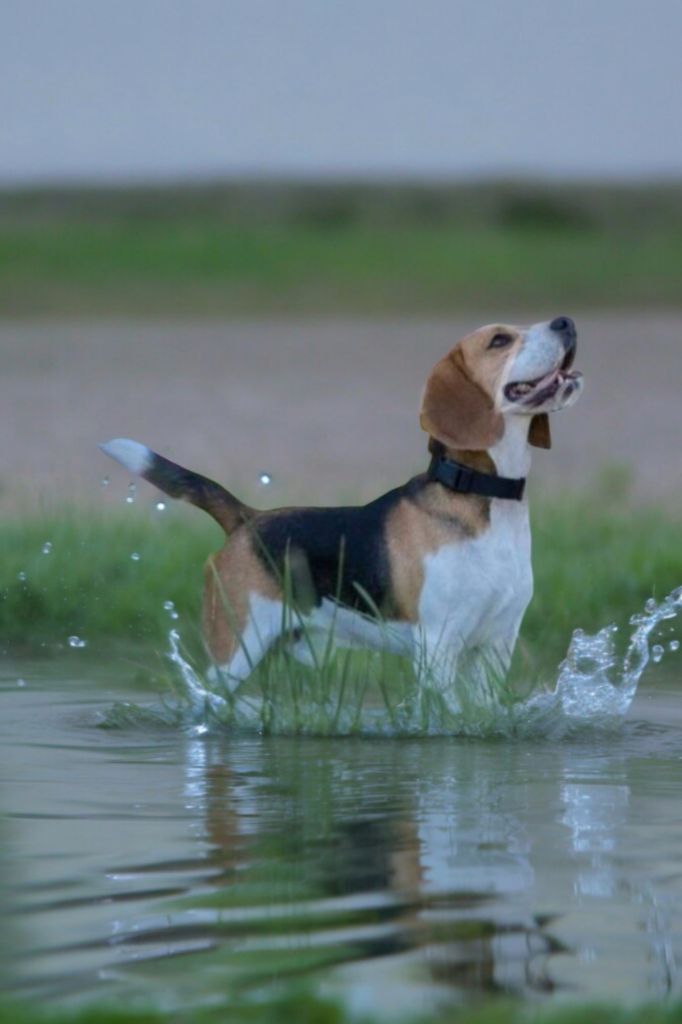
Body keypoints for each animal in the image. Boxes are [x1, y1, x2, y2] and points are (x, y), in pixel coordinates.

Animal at [99, 315, 577, 708]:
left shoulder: (497, 641)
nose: (565, 322)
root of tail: (247, 519)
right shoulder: (438, 643)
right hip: (235, 651)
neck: (483, 499)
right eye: (500, 340)